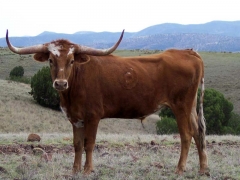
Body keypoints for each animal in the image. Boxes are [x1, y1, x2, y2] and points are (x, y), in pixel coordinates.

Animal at [5, 30, 208, 175]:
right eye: (50, 60)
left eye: (71, 60)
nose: (61, 83)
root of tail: (189, 53)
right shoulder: (75, 118)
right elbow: (77, 144)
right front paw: (75, 170)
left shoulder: (93, 116)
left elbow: (89, 143)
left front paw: (87, 170)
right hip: (190, 106)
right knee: (198, 132)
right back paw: (203, 169)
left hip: (181, 106)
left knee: (186, 135)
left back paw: (180, 169)